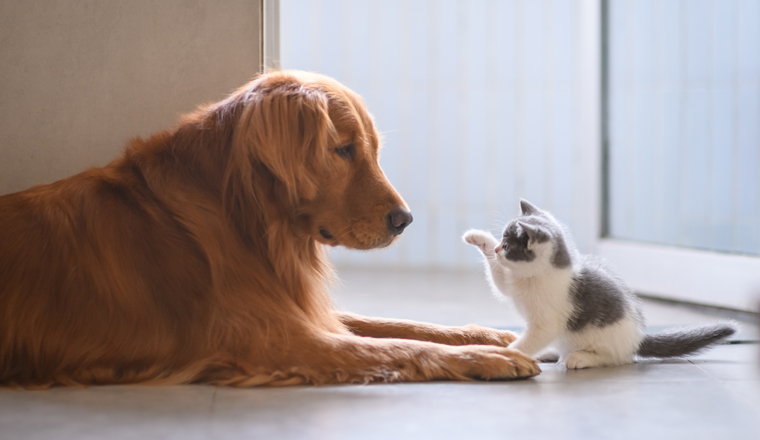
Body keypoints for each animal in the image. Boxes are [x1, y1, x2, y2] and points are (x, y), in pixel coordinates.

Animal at [0, 69, 540, 388]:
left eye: (371, 149)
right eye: (343, 150)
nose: (404, 221)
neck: (246, 221)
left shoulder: (298, 309)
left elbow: (405, 325)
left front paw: (490, 337)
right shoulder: (276, 339)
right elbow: (403, 345)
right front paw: (489, 358)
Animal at [464, 199, 736, 368]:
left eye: (508, 245)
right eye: (501, 240)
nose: (498, 249)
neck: (534, 278)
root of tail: (638, 337)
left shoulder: (547, 323)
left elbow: (531, 339)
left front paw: (506, 353)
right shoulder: (511, 283)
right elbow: (499, 279)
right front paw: (478, 237)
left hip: (607, 339)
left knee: (618, 358)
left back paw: (581, 358)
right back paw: (550, 352)